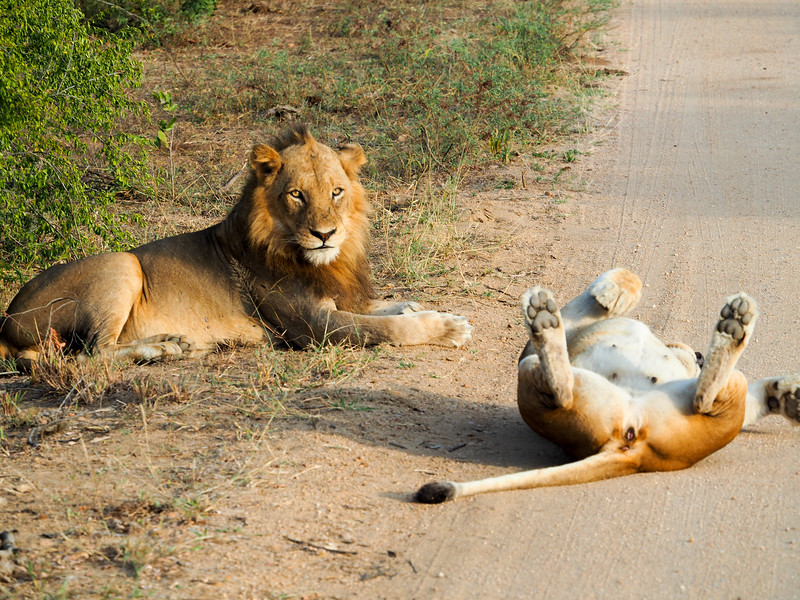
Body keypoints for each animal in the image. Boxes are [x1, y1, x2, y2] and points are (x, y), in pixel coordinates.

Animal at [0, 125, 472, 370]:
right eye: (296, 195)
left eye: (337, 192)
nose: (325, 234)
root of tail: (6, 323)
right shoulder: (311, 327)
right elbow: (386, 328)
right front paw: (448, 327)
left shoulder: (338, 297)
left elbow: (384, 307)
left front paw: (420, 307)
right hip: (122, 264)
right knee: (92, 354)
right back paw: (163, 349)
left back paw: (175, 343)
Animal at [416, 268, 796, 502]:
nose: (700, 355)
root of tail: (637, 455)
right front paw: (790, 395)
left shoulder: (572, 322)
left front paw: (788, 396)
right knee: (704, 395)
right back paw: (735, 325)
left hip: (533, 368)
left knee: (564, 390)